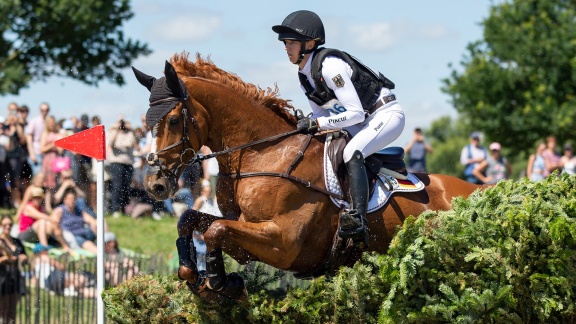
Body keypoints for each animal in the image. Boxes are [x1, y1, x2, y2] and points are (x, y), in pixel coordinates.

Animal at [132, 52, 482, 302]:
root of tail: (477, 190)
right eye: (146, 122)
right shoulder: (241, 222)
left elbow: (215, 230)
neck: (264, 153)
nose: (155, 184)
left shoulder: (283, 242)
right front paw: (193, 273)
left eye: (173, 120)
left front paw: (218, 281)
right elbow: (191, 219)